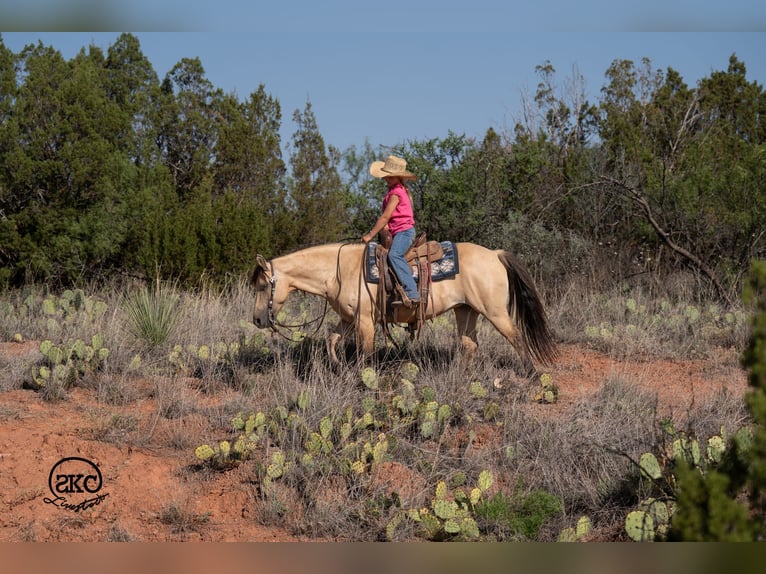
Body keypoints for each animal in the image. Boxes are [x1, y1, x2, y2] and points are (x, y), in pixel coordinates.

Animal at [251, 241, 557, 376]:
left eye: (263, 286)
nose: (256, 320)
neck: (338, 271)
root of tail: (494, 254)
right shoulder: (348, 319)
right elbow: (331, 340)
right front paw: (339, 368)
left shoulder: (365, 321)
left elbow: (365, 353)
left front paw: (364, 378)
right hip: (465, 310)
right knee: (469, 344)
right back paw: (458, 376)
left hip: (494, 312)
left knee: (515, 336)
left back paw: (531, 373)